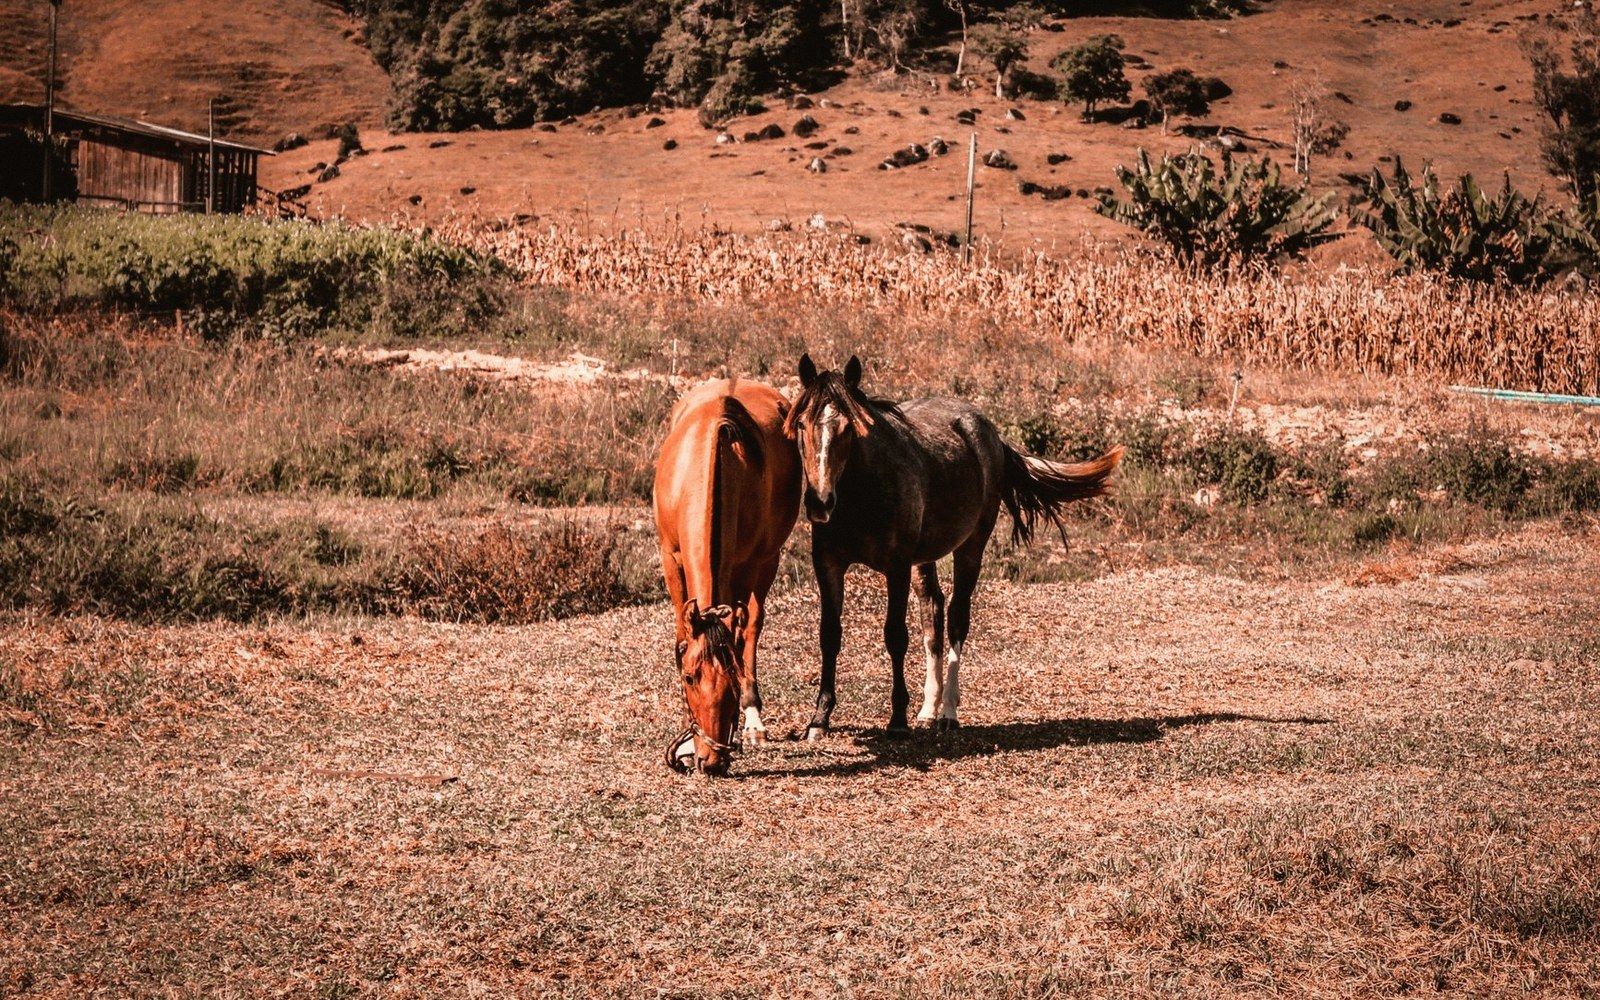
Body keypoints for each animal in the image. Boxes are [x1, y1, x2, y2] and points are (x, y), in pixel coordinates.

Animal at [653, 377, 801, 775]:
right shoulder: (671, 558)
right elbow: (681, 630)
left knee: (752, 625)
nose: (711, 760)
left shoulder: (750, 564)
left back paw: (753, 722)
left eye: (731, 681)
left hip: (766, 563)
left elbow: (742, 632)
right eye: (689, 677)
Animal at [784, 354, 1123, 739]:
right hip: (923, 560)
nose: (819, 501)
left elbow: (895, 635)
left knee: (957, 617)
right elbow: (830, 636)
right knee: (933, 616)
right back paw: (928, 709)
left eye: (849, 429)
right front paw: (819, 719)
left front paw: (897, 719)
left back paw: (947, 712)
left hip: (970, 548)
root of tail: (992, 435)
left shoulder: (896, 567)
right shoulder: (828, 564)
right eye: (801, 424)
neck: (859, 494)